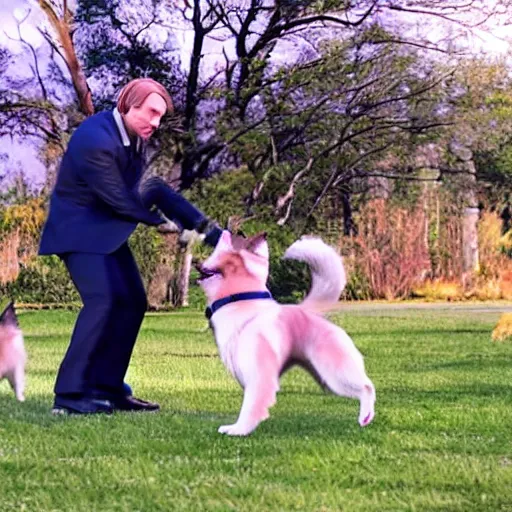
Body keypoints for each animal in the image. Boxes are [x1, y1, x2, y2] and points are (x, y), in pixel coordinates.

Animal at [197, 232, 376, 436]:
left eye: (238, 238)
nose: (263, 234)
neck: (240, 300)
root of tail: (309, 312)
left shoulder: (258, 375)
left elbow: (250, 406)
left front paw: (239, 429)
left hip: (335, 374)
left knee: (367, 387)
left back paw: (365, 416)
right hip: (326, 380)